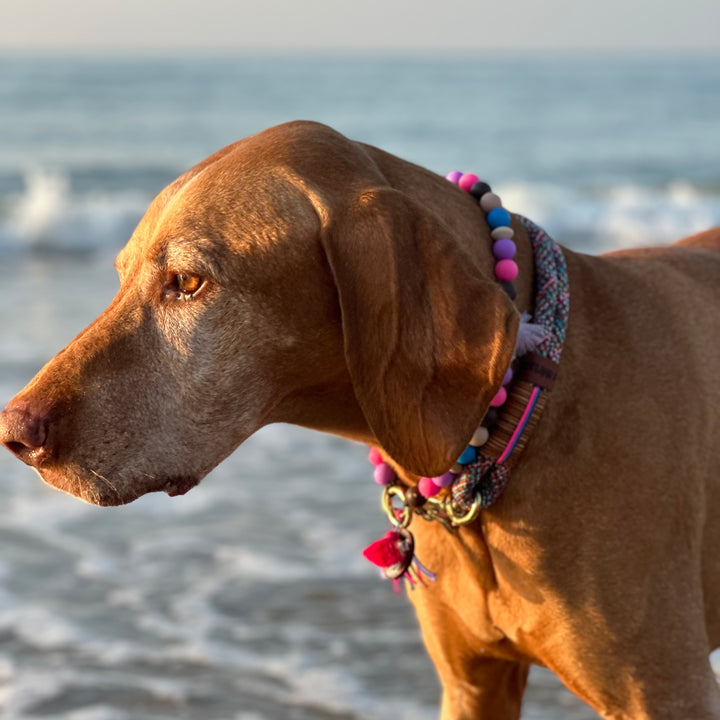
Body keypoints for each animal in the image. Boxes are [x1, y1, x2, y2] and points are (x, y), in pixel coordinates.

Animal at [1, 121, 720, 716]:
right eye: (120, 276)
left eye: (187, 282)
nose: (14, 433)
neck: (526, 408)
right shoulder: (471, 686)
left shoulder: (667, 691)